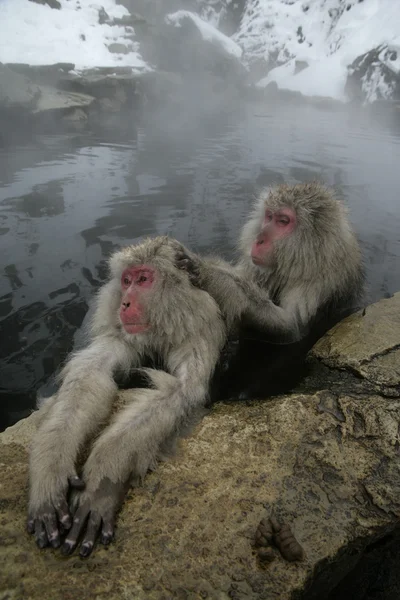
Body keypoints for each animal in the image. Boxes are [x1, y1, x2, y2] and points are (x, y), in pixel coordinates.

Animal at [27, 234, 228, 556]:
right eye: (127, 280)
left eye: (144, 279)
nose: (125, 302)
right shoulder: (122, 330)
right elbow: (89, 372)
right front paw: (51, 472)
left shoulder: (198, 331)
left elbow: (181, 392)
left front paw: (103, 481)